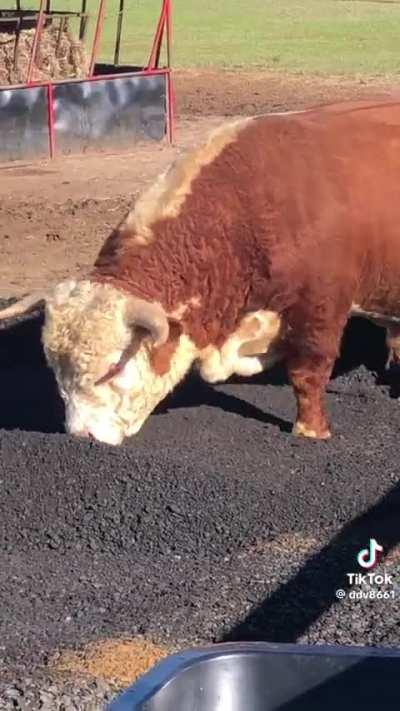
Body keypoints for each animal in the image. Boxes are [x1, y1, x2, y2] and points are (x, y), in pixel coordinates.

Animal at [2, 99, 400, 446]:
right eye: (56, 371)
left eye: (112, 369)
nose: (80, 436)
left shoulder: (320, 308)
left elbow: (308, 373)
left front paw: (311, 431)